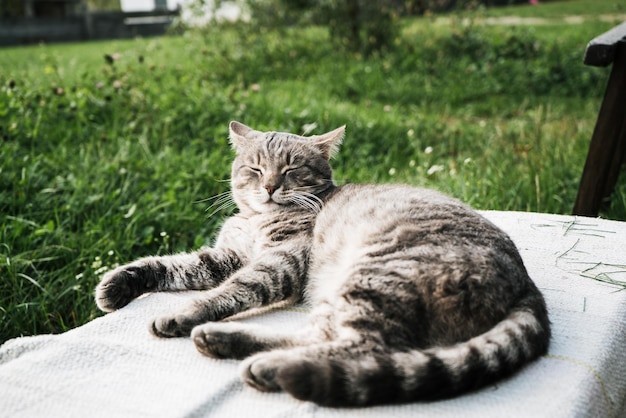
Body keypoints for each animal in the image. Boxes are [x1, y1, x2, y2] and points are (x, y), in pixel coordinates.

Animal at [95, 120, 548, 404]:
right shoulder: (223, 257)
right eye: (255, 168)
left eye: (291, 168)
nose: (270, 186)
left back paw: (268, 367)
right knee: (317, 337)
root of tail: (527, 283)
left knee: (360, 347)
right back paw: (228, 344)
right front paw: (116, 285)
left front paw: (182, 313)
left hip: (377, 276)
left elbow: (232, 290)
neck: (257, 220)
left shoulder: (281, 261)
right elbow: (169, 265)